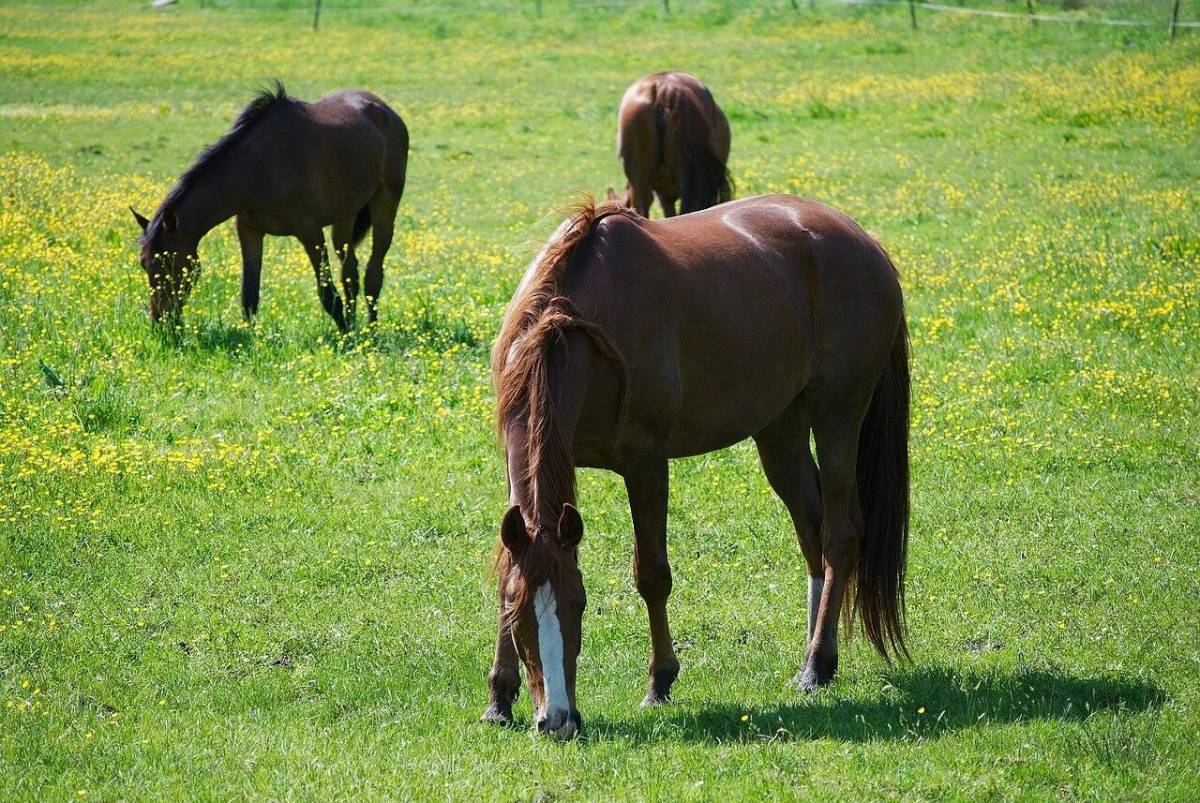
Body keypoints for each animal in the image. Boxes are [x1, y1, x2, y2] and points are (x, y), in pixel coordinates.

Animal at [129, 79, 405, 331]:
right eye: (144, 263)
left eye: (170, 263)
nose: (160, 323)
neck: (259, 167)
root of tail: (386, 110)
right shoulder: (249, 230)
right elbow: (249, 295)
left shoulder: (310, 231)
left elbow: (327, 293)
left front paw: (346, 336)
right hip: (345, 216)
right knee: (350, 273)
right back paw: (356, 322)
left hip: (385, 204)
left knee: (373, 274)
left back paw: (370, 330)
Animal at [484, 194, 907, 739]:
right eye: (519, 614)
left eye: (578, 605)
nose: (557, 720)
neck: (577, 323)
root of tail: (866, 245)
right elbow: (506, 566)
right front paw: (499, 699)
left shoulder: (646, 464)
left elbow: (651, 574)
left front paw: (660, 682)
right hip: (781, 430)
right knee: (811, 531)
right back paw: (817, 657)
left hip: (838, 416)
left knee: (838, 534)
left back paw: (816, 664)